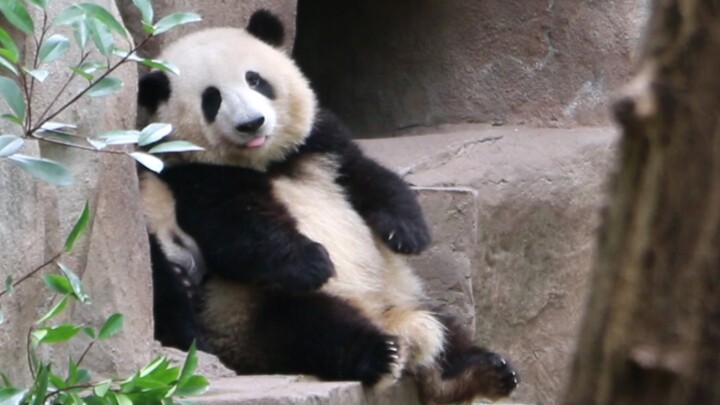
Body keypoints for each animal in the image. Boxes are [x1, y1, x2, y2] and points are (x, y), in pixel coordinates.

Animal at [138, 9, 518, 403]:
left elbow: (368, 176)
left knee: (448, 329)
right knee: (310, 329)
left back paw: (480, 372)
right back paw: (379, 355)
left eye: (255, 80)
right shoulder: (193, 178)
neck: (265, 163)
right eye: (211, 99)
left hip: (409, 294)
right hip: (246, 309)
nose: (252, 123)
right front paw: (313, 262)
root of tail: (392, 321)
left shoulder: (321, 142)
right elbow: (239, 228)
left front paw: (407, 232)